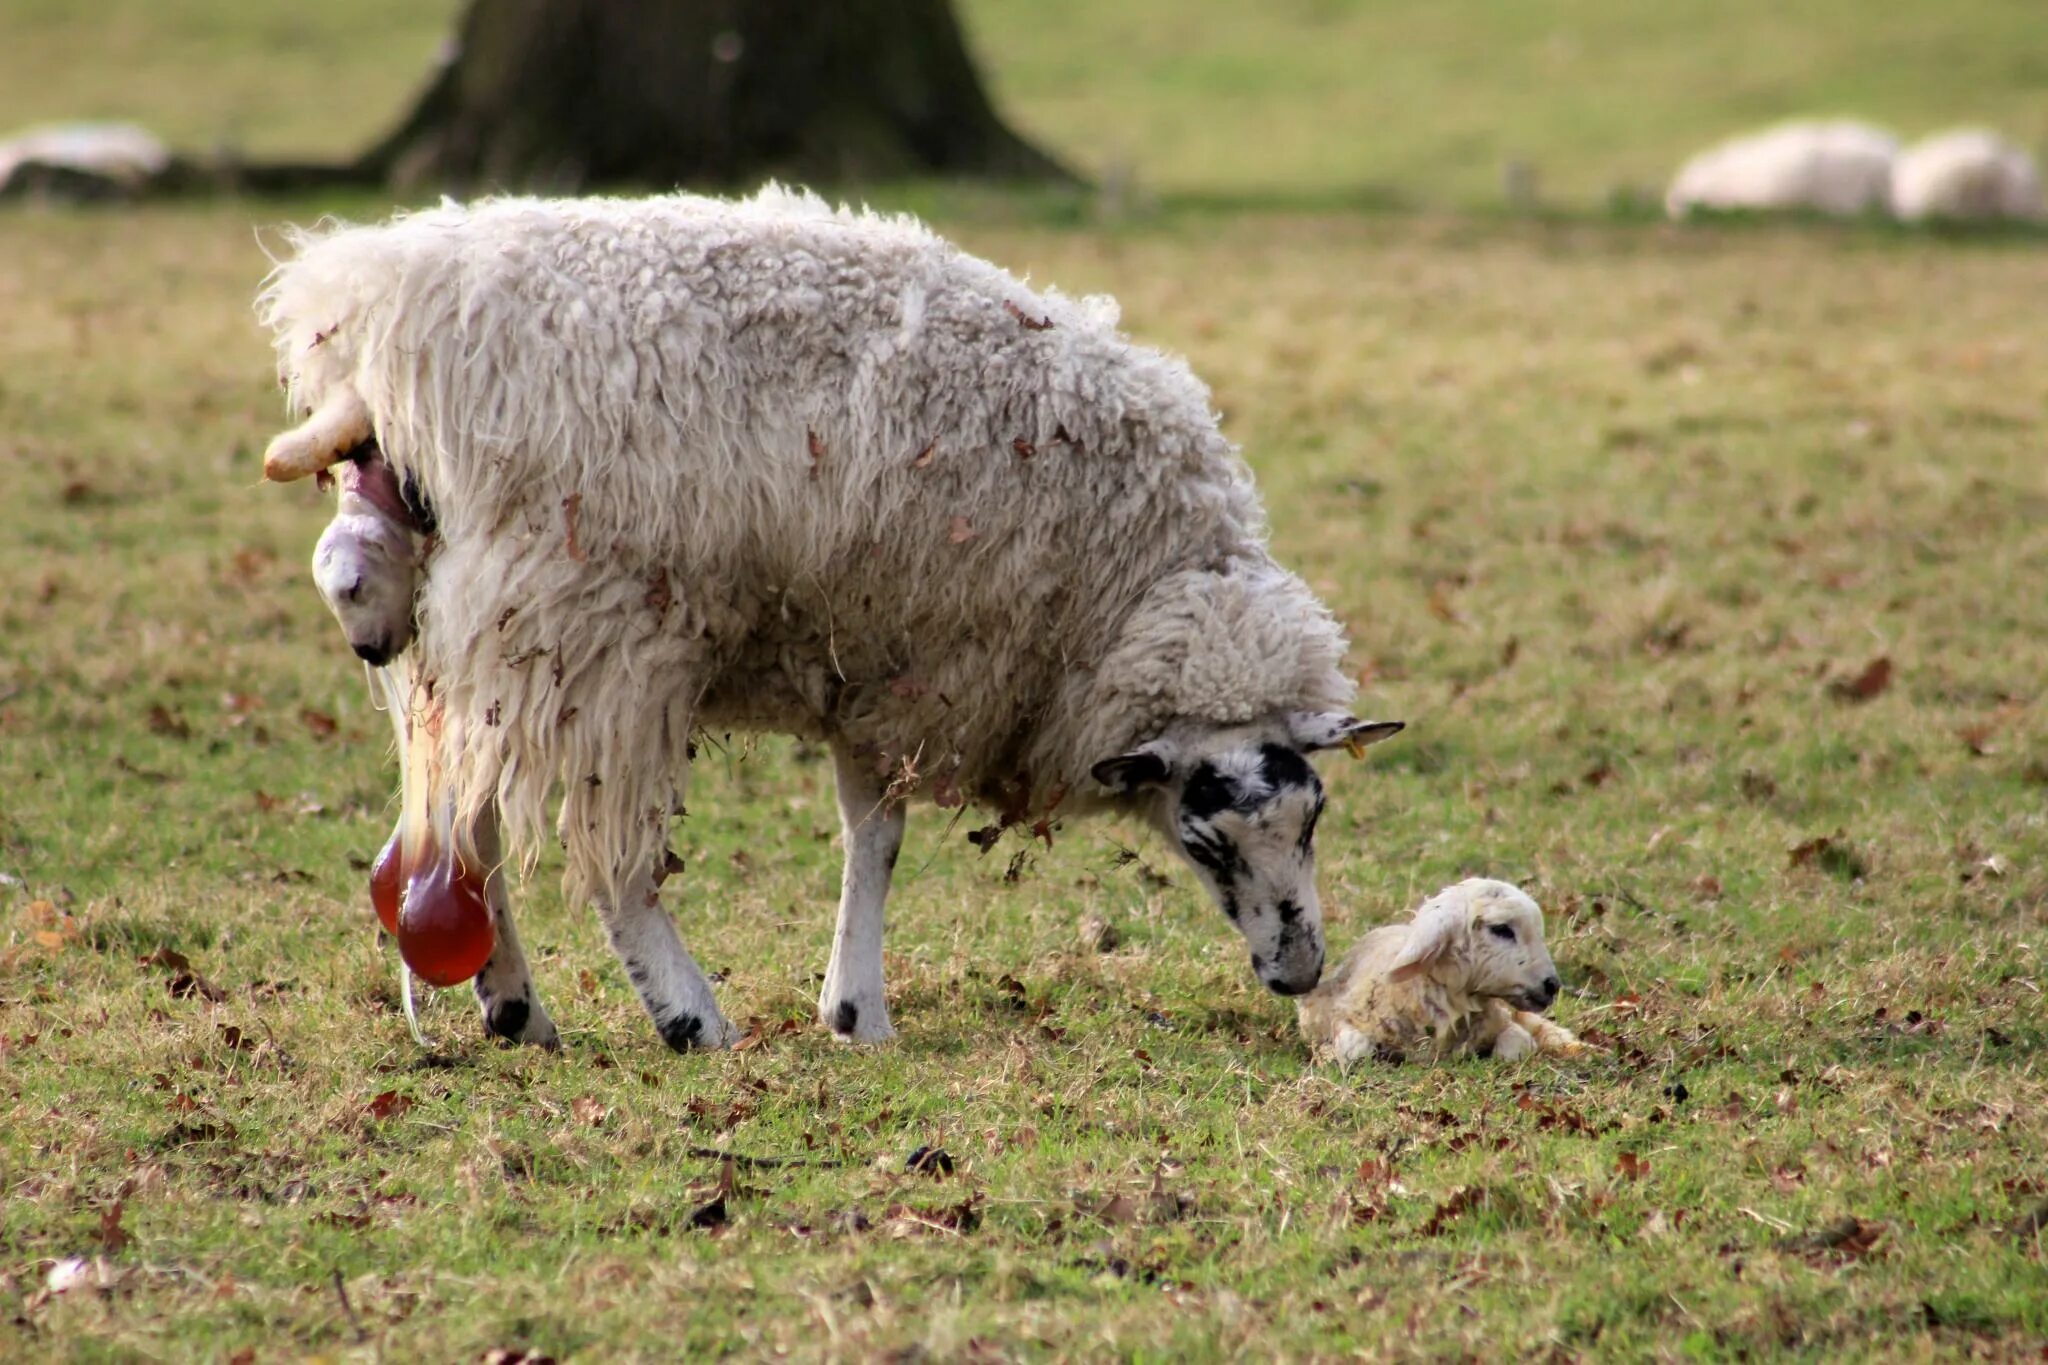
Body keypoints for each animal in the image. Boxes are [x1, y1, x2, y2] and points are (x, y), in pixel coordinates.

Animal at [260, 187, 1409, 1055]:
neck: (1131, 586)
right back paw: (687, 1016)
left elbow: (869, 830)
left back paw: (504, 1005)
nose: (1299, 971)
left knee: (461, 807)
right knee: (606, 857)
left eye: (1313, 820)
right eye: (1207, 840)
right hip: (591, 623)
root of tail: (380, 302)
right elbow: (879, 839)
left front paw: (849, 1005)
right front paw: (858, 1011)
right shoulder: (919, 665)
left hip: (473, 622)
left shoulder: (875, 667)